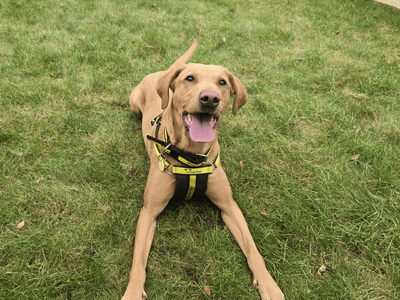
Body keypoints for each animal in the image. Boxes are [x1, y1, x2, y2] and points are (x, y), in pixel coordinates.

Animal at [122, 39, 284, 300]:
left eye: (222, 82)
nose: (210, 99)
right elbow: (138, 261)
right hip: (134, 103)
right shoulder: (148, 212)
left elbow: (253, 249)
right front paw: (133, 292)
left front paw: (269, 285)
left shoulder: (229, 206)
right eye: (189, 78)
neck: (191, 157)